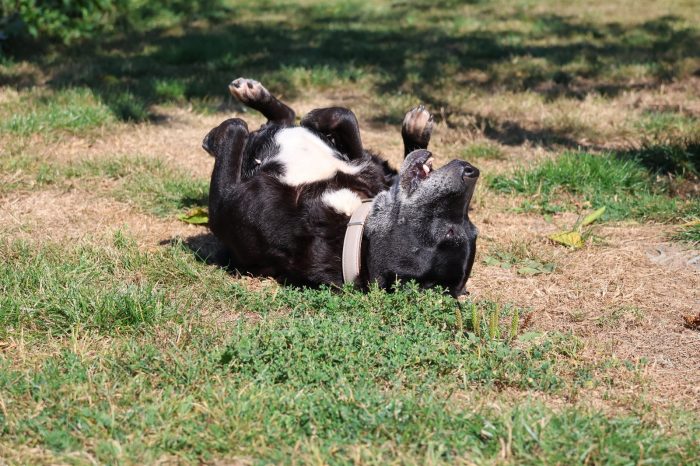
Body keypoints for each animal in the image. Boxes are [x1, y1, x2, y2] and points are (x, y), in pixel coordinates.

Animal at [202, 78, 479, 297]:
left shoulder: (227, 205)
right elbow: (343, 114)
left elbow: (235, 128)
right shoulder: (365, 167)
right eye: (471, 227)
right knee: (287, 117)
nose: (472, 171)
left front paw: (216, 136)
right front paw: (315, 118)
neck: (349, 219)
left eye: (450, 233)